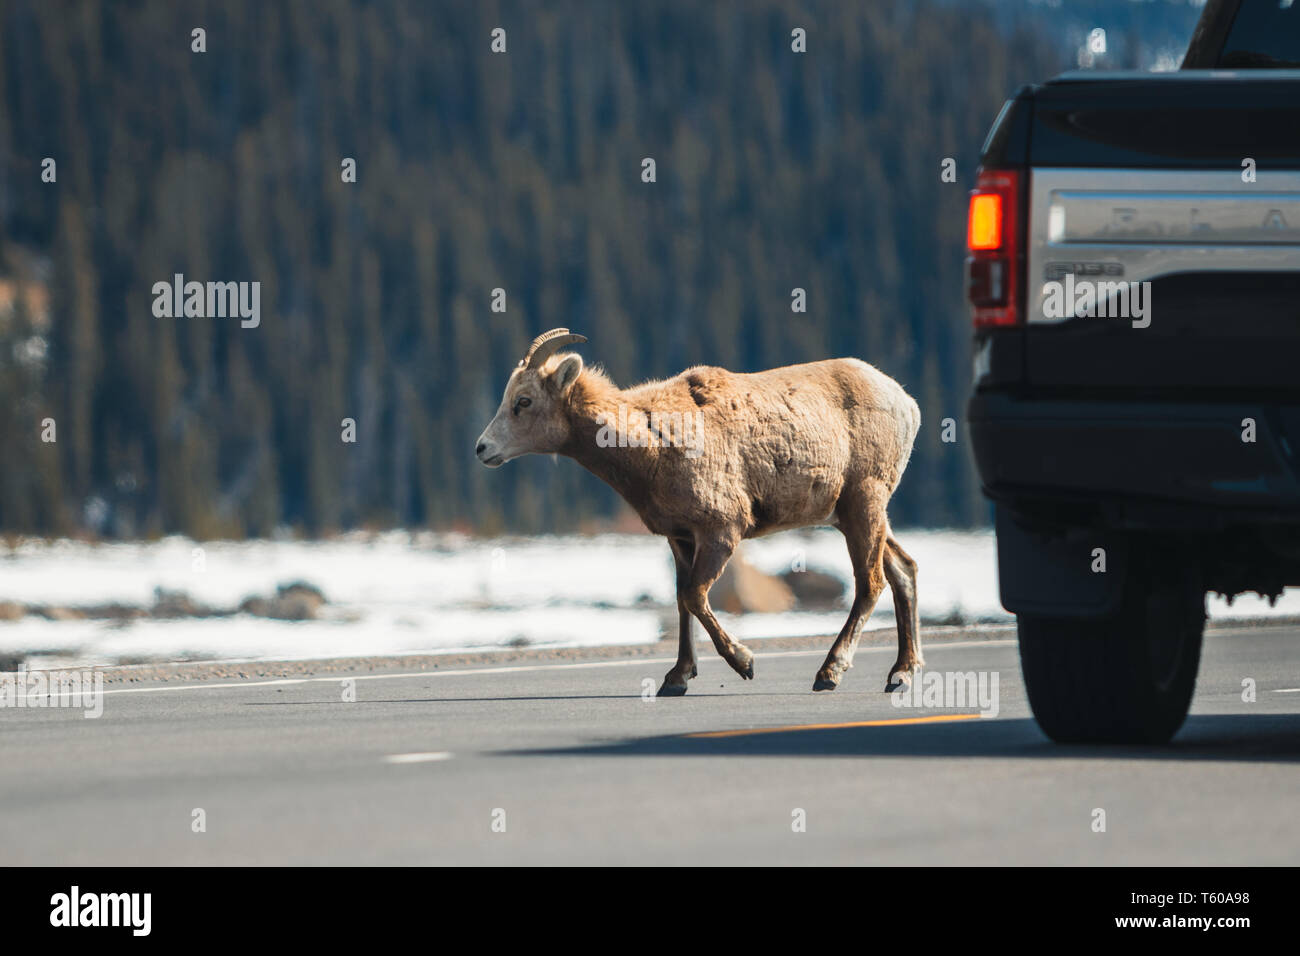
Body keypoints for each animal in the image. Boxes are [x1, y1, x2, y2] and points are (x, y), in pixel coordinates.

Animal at [475, 328, 923, 696]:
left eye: (523, 401)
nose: (482, 449)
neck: (651, 444)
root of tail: (908, 404)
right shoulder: (679, 538)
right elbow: (681, 601)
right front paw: (676, 678)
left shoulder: (722, 531)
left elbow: (694, 596)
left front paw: (744, 663)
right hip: (854, 515)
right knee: (904, 570)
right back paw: (901, 673)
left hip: (864, 504)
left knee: (871, 583)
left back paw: (830, 672)